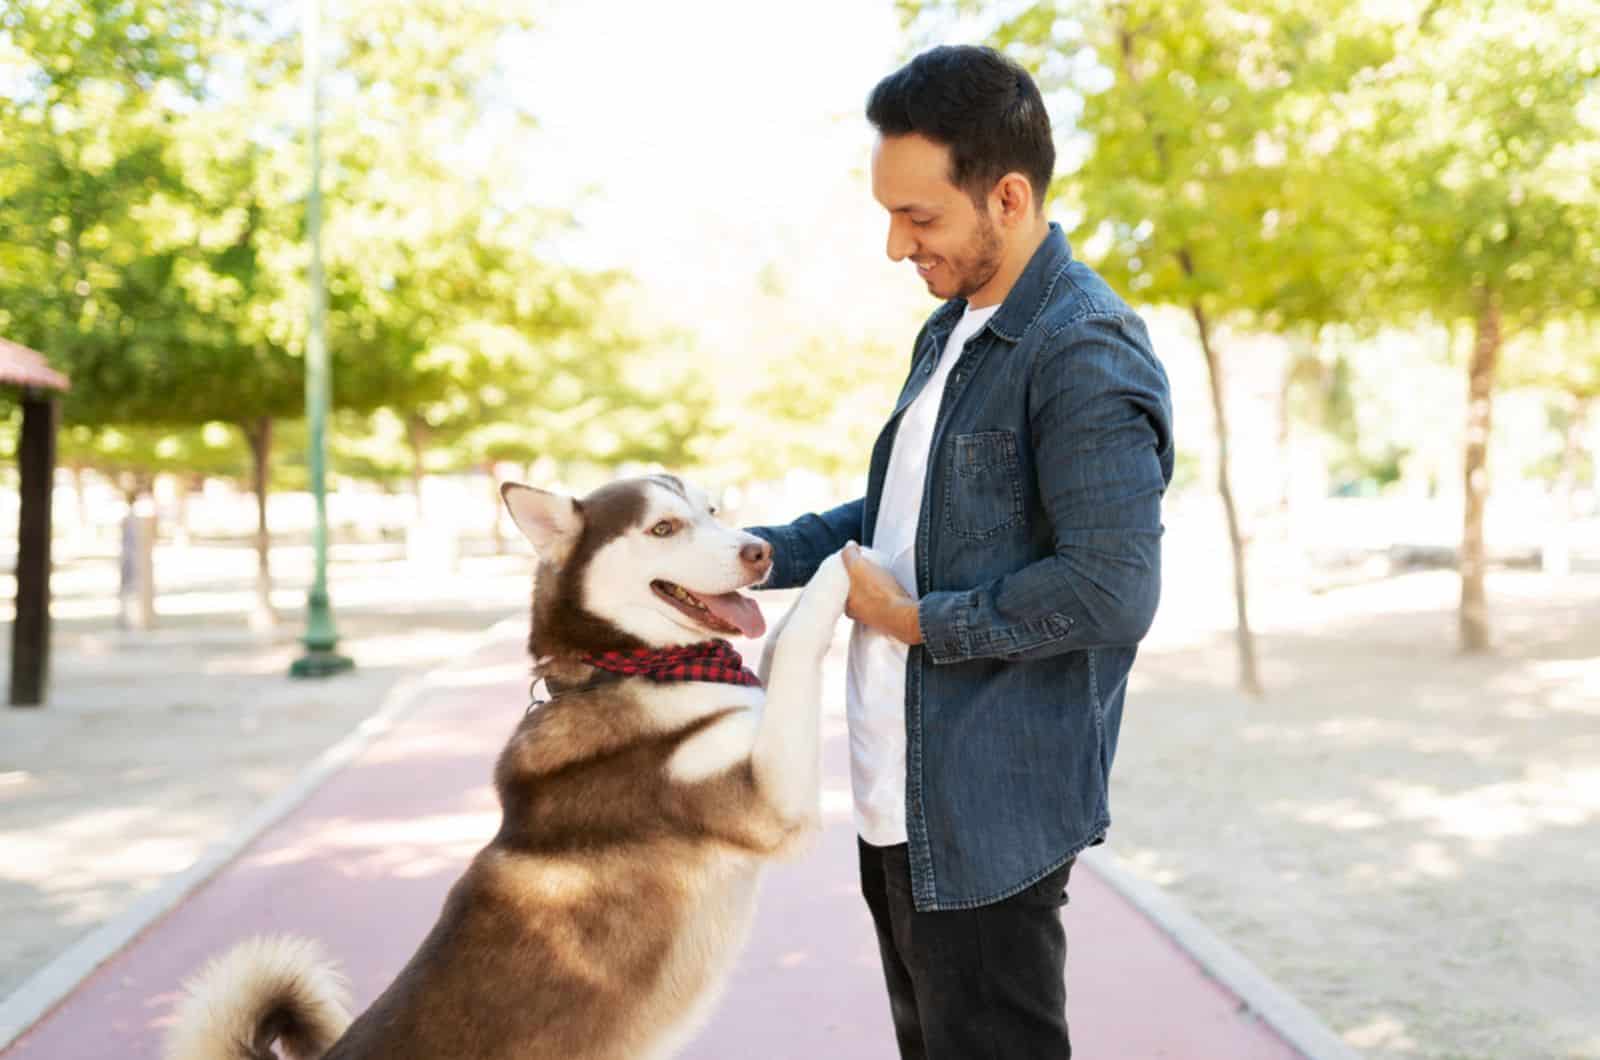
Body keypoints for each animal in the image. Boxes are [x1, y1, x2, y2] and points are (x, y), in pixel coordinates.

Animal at [168, 477, 857, 1056]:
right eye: (664, 528)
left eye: (712, 511)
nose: (760, 552)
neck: (626, 669)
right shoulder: (770, 801)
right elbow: (796, 647)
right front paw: (840, 566)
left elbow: (776, 647)